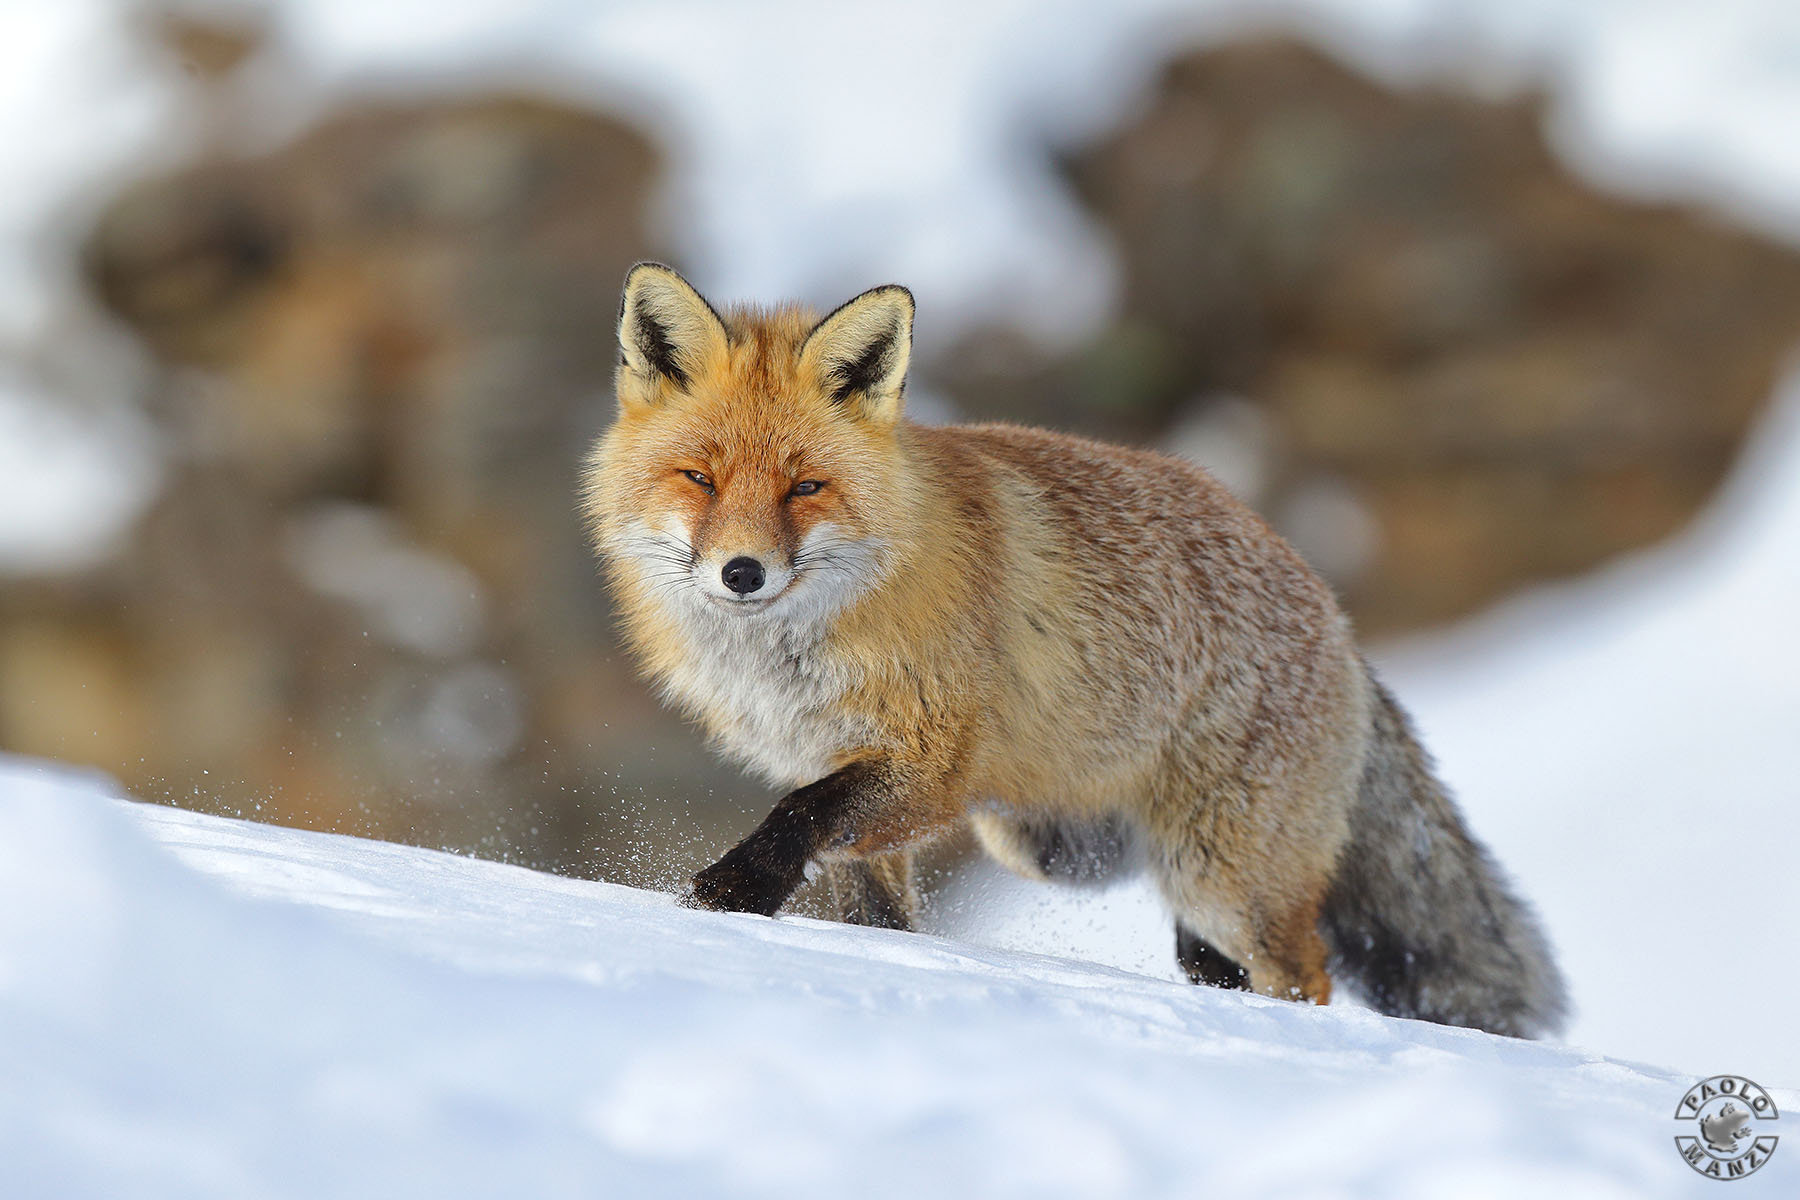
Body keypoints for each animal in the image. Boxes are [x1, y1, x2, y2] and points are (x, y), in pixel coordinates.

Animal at [581, 262, 1568, 1038]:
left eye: (806, 488)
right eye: (699, 478)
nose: (741, 573)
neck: (787, 656)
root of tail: (1339, 619)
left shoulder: (928, 768)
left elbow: (798, 816)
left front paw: (726, 896)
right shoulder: (848, 772)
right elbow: (873, 909)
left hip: (1218, 875)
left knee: (1306, 973)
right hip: (1064, 846)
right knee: (1221, 964)